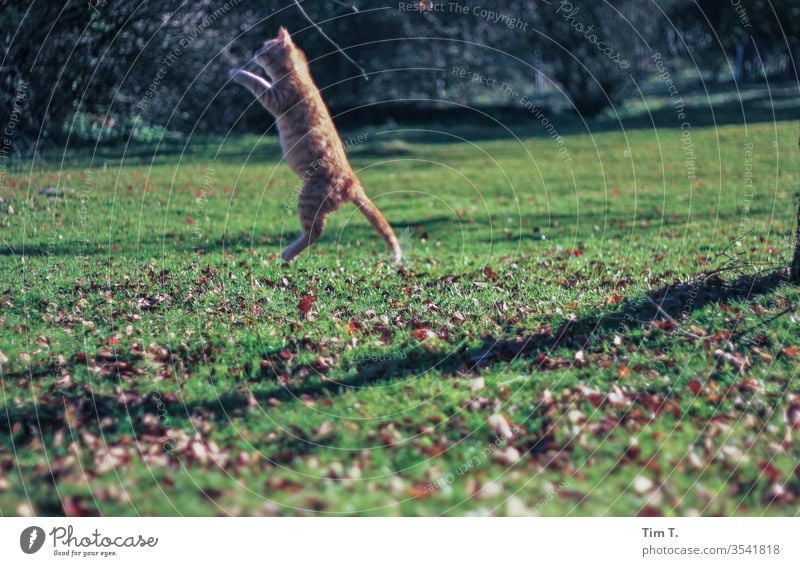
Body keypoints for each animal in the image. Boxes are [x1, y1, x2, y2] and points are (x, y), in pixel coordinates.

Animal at [228, 28, 404, 264]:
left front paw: (236, 71)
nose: (255, 49)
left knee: (314, 233)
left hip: (308, 200)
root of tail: (353, 183)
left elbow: (257, 81)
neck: (298, 73)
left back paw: (288, 253)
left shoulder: (276, 97)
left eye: (265, 47)